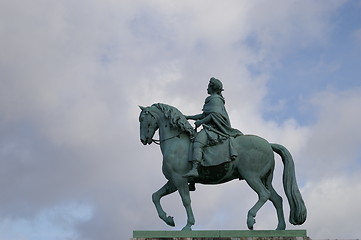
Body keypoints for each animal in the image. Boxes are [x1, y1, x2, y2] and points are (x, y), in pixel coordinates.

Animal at [138, 102, 306, 231]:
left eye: (142, 118)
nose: (143, 140)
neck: (177, 142)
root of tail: (269, 144)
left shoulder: (179, 180)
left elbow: (186, 201)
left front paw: (188, 225)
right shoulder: (173, 181)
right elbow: (155, 196)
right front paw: (168, 219)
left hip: (251, 176)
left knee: (264, 195)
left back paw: (250, 218)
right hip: (265, 179)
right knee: (277, 199)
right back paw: (280, 227)